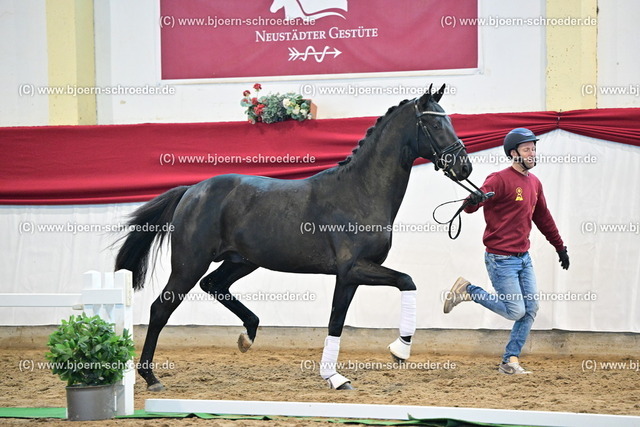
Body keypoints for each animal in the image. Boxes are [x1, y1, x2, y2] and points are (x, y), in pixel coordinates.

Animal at [115, 84, 472, 391]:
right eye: (435, 124)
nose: (464, 167)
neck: (360, 191)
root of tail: (192, 190)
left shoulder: (354, 275)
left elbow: (357, 310)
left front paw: (350, 370)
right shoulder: (351, 270)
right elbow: (390, 290)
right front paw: (387, 355)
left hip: (241, 262)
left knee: (214, 285)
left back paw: (248, 335)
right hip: (190, 264)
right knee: (161, 309)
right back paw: (151, 377)